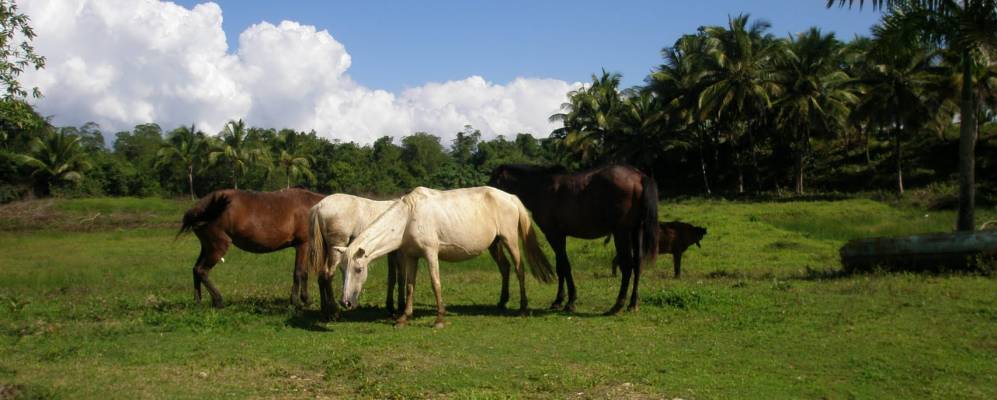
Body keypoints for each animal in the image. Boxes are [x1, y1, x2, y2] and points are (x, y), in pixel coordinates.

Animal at [175, 189, 322, 308]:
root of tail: (198, 208)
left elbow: (304, 273)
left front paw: (306, 299)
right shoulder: (303, 244)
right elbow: (299, 272)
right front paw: (296, 301)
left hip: (207, 247)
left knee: (196, 269)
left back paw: (198, 301)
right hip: (218, 246)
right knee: (202, 270)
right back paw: (218, 300)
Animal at [312, 192, 404, 320]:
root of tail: (320, 206)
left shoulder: (392, 253)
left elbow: (392, 278)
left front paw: (391, 308)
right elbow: (400, 278)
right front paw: (398, 308)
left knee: (321, 276)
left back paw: (325, 312)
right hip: (336, 248)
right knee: (327, 275)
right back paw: (334, 312)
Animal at [332, 186, 552, 326]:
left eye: (359, 269)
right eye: (341, 269)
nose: (345, 302)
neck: (409, 218)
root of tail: (511, 197)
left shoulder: (431, 253)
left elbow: (435, 283)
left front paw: (439, 319)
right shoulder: (411, 256)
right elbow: (410, 285)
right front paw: (404, 318)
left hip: (510, 240)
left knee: (519, 269)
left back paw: (522, 308)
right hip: (495, 244)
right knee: (505, 269)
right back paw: (501, 303)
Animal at [486, 164, 656, 314]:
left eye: (494, 181)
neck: (541, 188)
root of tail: (639, 176)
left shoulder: (554, 235)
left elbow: (565, 266)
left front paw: (570, 301)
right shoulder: (560, 236)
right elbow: (560, 267)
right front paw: (558, 300)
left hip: (621, 233)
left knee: (627, 266)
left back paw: (617, 305)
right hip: (636, 231)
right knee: (638, 264)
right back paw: (633, 304)